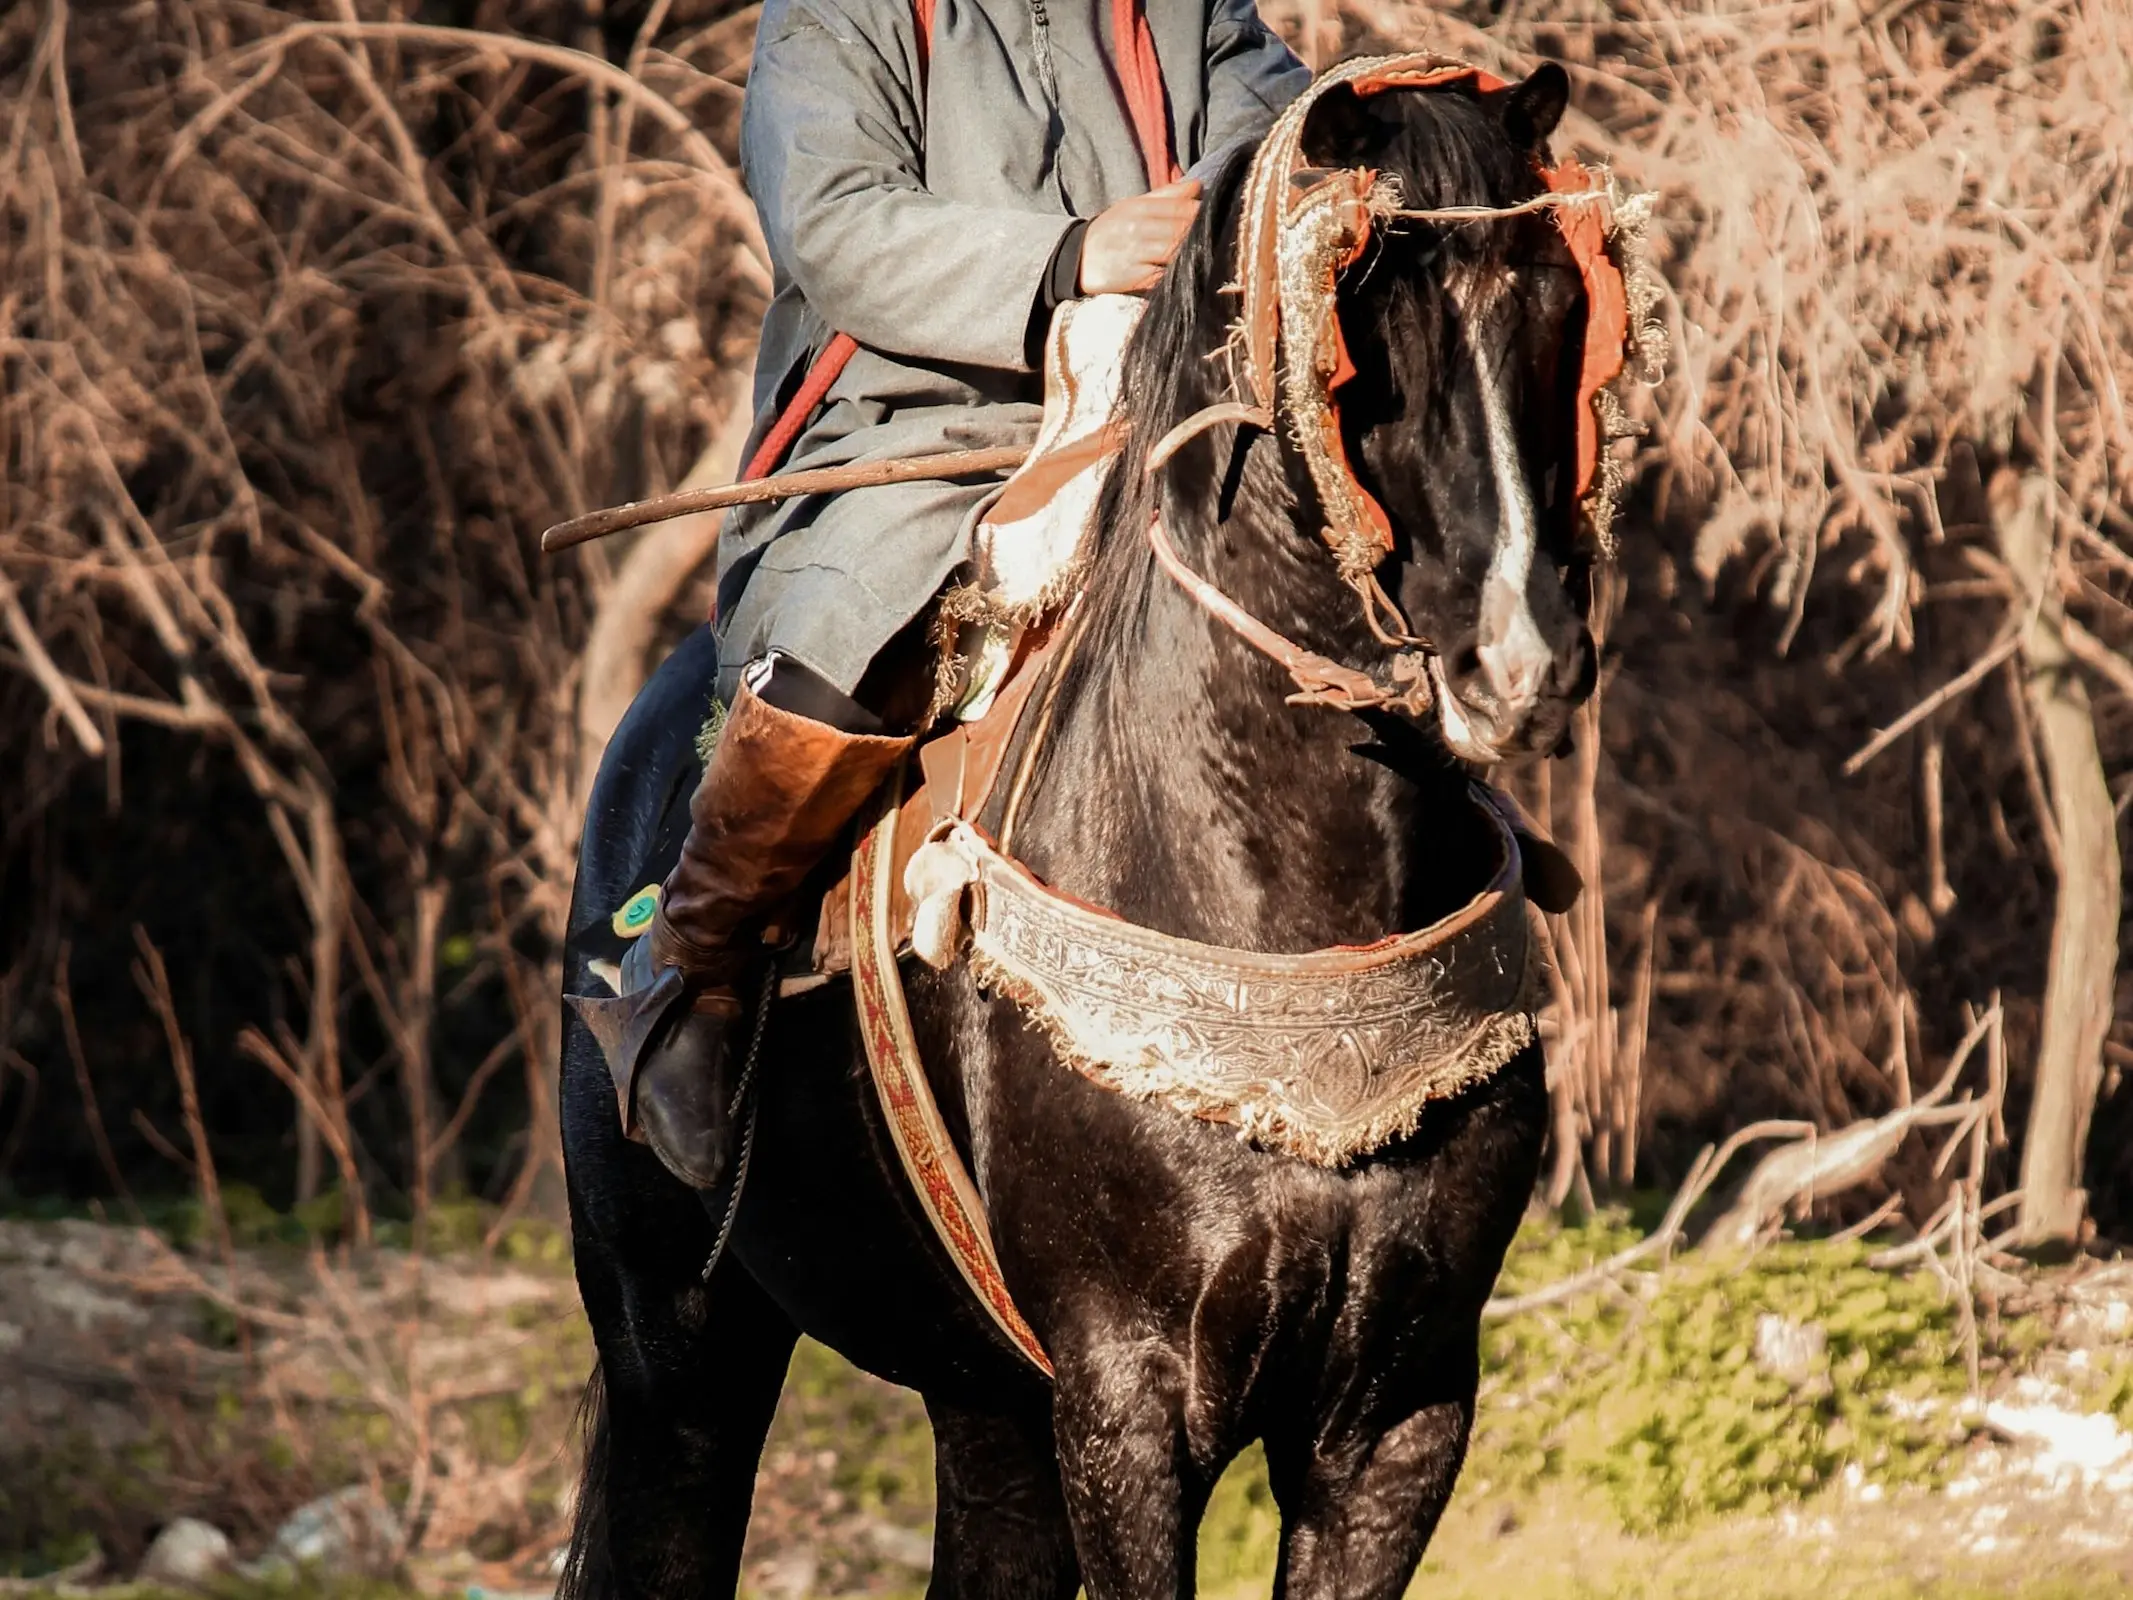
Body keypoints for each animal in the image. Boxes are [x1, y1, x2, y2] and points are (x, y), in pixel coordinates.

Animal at [560, 59, 1606, 1600]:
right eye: (1366, 318)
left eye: (1559, 303)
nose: (1521, 661)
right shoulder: (1130, 1403)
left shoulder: (1399, 1417)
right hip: (675, 1360)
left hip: (984, 1401)